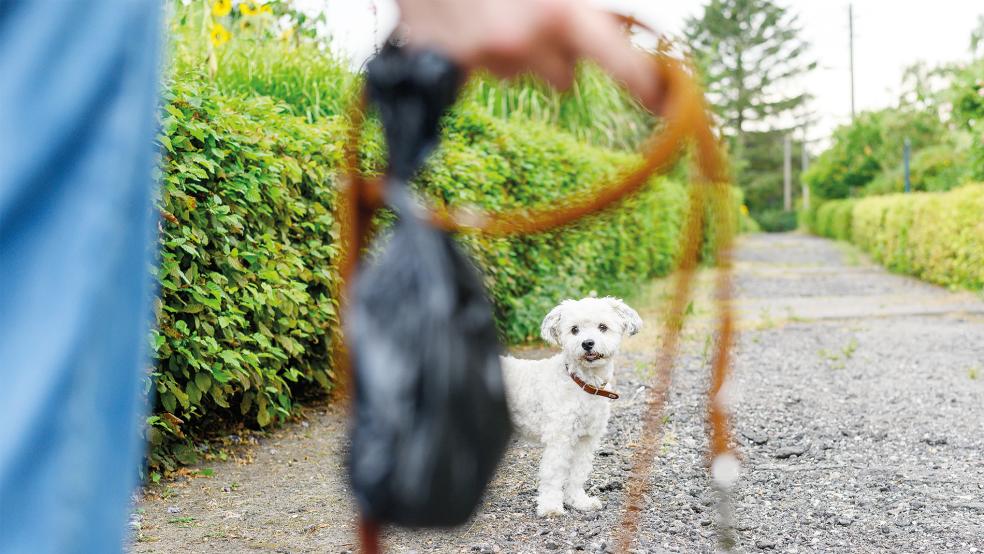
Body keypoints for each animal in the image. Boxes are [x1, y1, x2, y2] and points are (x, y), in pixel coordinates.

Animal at [500, 296, 644, 516]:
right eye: (574, 329)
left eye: (603, 327)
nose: (587, 343)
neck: (583, 384)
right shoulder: (559, 438)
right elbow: (553, 474)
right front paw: (551, 506)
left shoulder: (586, 439)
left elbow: (578, 473)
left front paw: (578, 501)